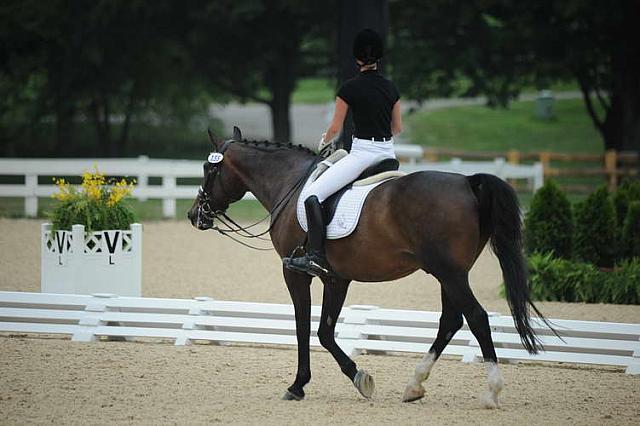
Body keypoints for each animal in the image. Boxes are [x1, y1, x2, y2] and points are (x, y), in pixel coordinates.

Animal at [186, 127, 552, 410]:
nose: (194, 215)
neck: (290, 185)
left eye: (208, 168)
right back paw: (414, 386)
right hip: (450, 274)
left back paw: (491, 392)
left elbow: (305, 328)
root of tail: (467, 182)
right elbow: (325, 331)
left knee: (476, 317)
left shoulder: (296, 272)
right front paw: (357, 377)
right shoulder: (337, 278)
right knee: (451, 320)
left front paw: (302, 384)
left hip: (449, 273)